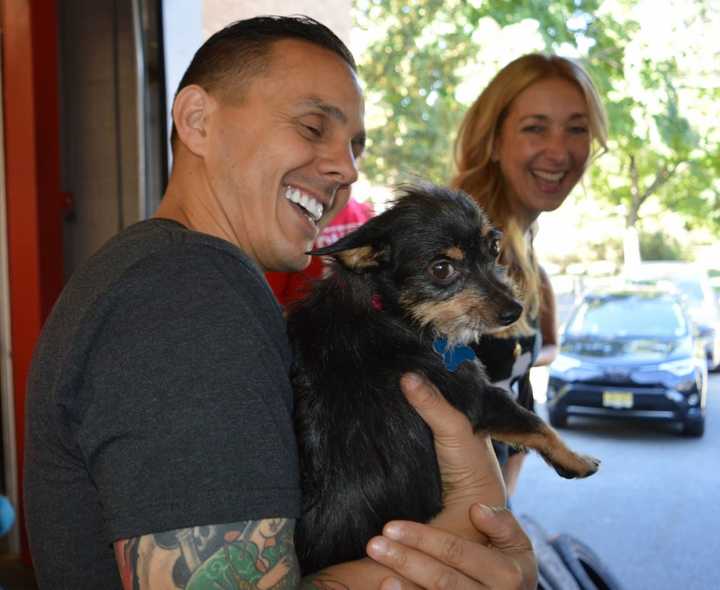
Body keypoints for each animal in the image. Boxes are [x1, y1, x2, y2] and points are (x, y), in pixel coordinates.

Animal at [286, 184, 596, 572]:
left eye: (494, 247)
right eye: (442, 268)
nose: (515, 311)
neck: (391, 310)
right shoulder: (478, 397)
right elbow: (536, 423)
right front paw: (577, 460)